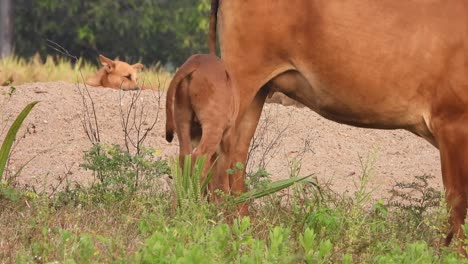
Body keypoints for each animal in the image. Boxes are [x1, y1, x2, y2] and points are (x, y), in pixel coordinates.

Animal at [165, 54, 238, 198]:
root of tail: (197, 60)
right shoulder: (227, 139)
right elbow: (222, 177)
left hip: (182, 122)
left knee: (185, 157)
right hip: (213, 127)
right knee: (199, 156)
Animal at [210, 0, 468, 245]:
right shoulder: (453, 122)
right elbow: (459, 204)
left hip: (258, 90)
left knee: (237, 151)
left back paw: (244, 226)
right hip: (242, 76)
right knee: (220, 151)